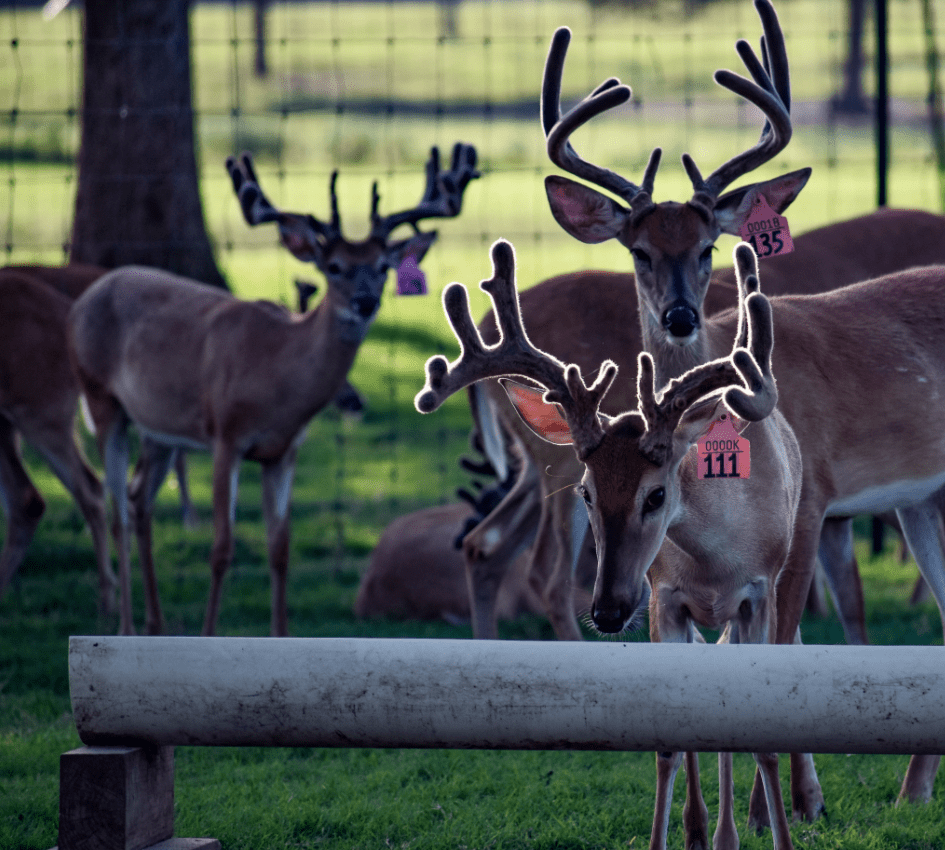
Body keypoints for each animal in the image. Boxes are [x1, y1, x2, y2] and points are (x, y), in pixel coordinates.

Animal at [66, 142, 479, 637]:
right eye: (334, 267)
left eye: (382, 267)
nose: (365, 302)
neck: (276, 372)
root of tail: (86, 296)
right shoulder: (226, 435)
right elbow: (221, 549)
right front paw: (207, 634)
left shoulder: (284, 450)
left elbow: (280, 548)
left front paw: (280, 635)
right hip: (101, 398)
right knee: (117, 512)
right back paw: (126, 626)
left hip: (157, 429)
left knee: (138, 499)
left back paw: (156, 623)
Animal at [418, 237, 805, 850]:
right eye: (586, 490)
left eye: (656, 493)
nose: (606, 609)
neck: (717, 563)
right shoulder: (664, 599)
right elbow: (670, 742)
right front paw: (669, 836)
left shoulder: (760, 592)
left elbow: (760, 743)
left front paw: (779, 836)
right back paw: (705, 831)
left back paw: (724, 833)